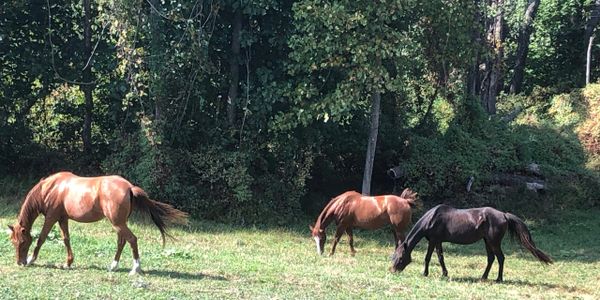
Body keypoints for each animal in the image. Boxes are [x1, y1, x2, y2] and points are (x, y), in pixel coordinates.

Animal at [7, 172, 188, 276]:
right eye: (13, 242)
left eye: (22, 242)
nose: (19, 262)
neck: (50, 188)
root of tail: (129, 187)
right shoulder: (63, 218)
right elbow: (66, 239)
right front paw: (68, 263)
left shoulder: (51, 218)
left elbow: (41, 238)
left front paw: (31, 259)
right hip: (120, 223)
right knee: (122, 241)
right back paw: (113, 266)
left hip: (117, 223)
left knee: (132, 240)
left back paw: (135, 269)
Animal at [390, 204, 552, 282]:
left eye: (400, 258)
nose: (392, 271)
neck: (432, 219)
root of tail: (504, 215)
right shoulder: (438, 242)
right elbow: (440, 258)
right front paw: (444, 273)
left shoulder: (434, 241)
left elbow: (428, 257)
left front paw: (425, 273)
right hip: (487, 241)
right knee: (491, 259)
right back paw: (484, 277)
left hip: (494, 242)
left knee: (500, 258)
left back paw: (499, 279)